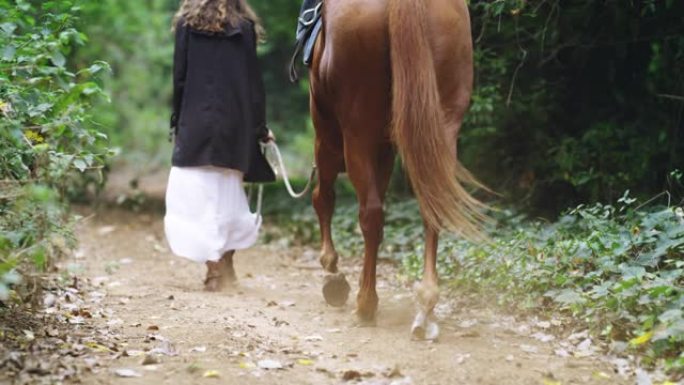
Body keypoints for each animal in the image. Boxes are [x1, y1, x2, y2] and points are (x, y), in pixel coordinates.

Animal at [308, 0, 484, 338]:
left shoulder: (327, 134)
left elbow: (323, 197)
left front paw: (332, 272)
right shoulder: (386, 146)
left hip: (356, 134)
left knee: (370, 213)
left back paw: (366, 304)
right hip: (441, 127)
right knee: (432, 207)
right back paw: (425, 305)